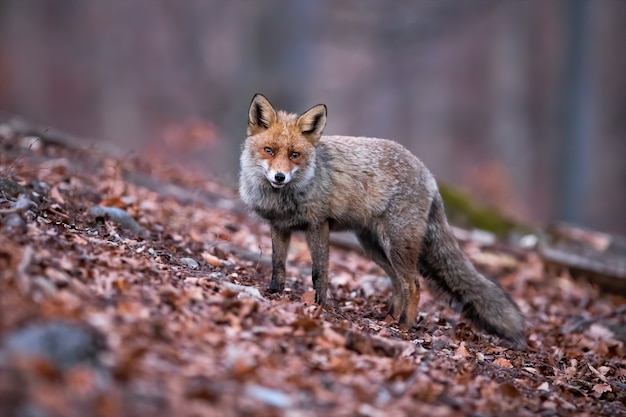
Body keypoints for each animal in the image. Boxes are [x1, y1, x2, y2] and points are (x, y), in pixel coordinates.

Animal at [241, 94, 524, 344]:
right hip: (374, 246)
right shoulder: (279, 226)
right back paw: (389, 318)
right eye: (269, 151)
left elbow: (319, 272)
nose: (279, 177)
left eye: (294, 155)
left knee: (414, 285)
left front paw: (320, 305)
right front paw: (275, 293)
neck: (284, 197)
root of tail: (429, 174)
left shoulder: (317, 225)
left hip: (396, 245)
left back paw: (405, 325)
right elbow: (278, 264)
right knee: (398, 284)